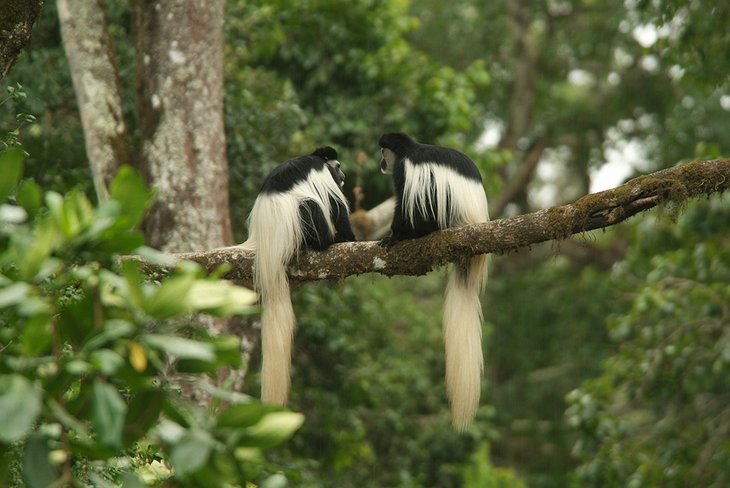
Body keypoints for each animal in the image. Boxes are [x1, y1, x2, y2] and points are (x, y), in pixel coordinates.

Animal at [243, 147, 354, 406]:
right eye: (338, 166)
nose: (343, 175)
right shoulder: (322, 173)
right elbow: (336, 205)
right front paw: (350, 237)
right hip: (296, 225)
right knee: (309, 205)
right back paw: (326, 241)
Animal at [376, 132, 490, 428]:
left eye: (383, 152)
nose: (381, 163)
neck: (409, 150)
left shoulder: (406, 170)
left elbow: (403, 202)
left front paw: (394, 236)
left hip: (444, 206)